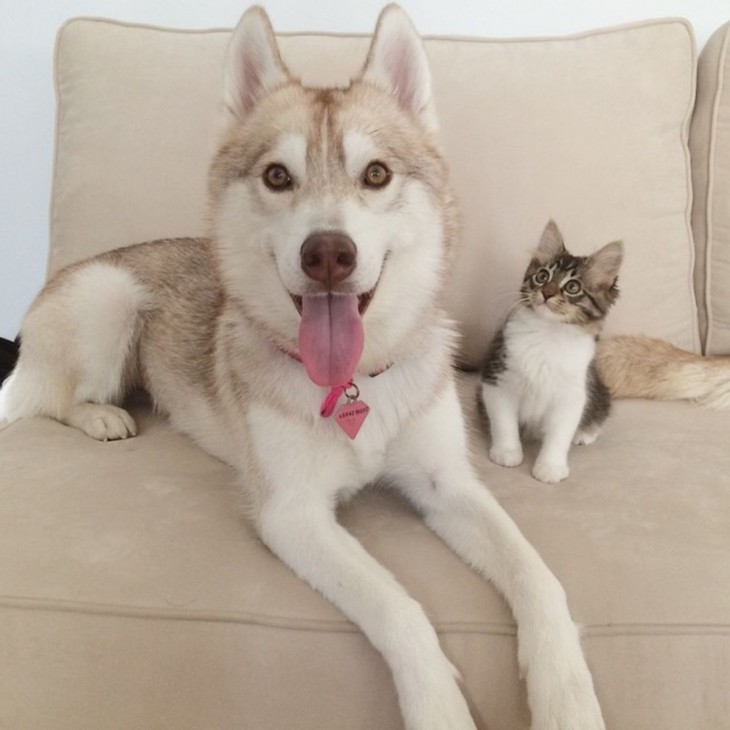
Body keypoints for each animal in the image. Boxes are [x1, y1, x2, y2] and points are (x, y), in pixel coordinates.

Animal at [0, 7, 604, 728]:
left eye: (376, 175)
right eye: (277, 177)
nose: (328, 255)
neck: (355, 379)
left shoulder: (449, 485)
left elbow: (538, 576)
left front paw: (567, 695)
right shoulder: (293, 514)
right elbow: (400, 608)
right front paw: (440, 708)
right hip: (109, 297)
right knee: (54, 398)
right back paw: (99, 415)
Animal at [478, 222, 620, 484]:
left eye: (572, 287)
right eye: (542, 276)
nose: (547, 293)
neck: (548, 331)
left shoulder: (572, 394)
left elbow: (559, 435)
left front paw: (550, 468)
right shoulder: (498, 378)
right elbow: (504, 422)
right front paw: (507, 452)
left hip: (598, 389)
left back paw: (585, 433)